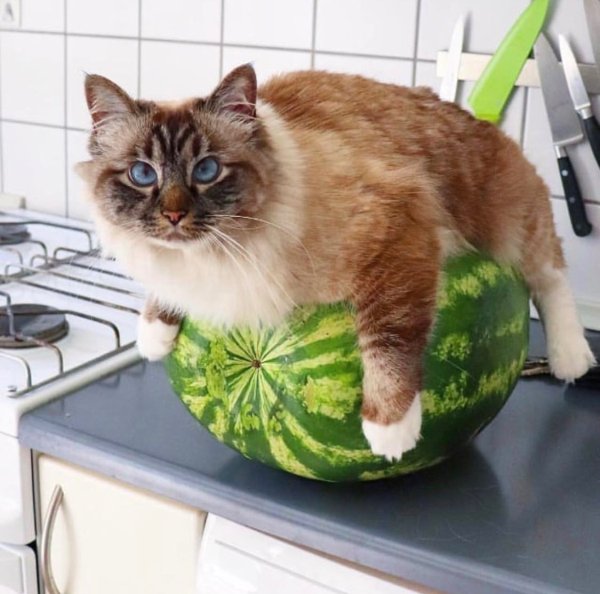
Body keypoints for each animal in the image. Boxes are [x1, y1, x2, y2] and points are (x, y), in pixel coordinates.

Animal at [76, 63, 596, 458]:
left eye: (207, 170)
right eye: (142, 174)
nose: (174, 215)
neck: (217, 255)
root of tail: (472, 114)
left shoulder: (395, 233)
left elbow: (388, 341)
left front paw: (390, 430)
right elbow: (163, 292)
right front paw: (153, 335)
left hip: (512, 222)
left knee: (552, 277)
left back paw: (571, 360)